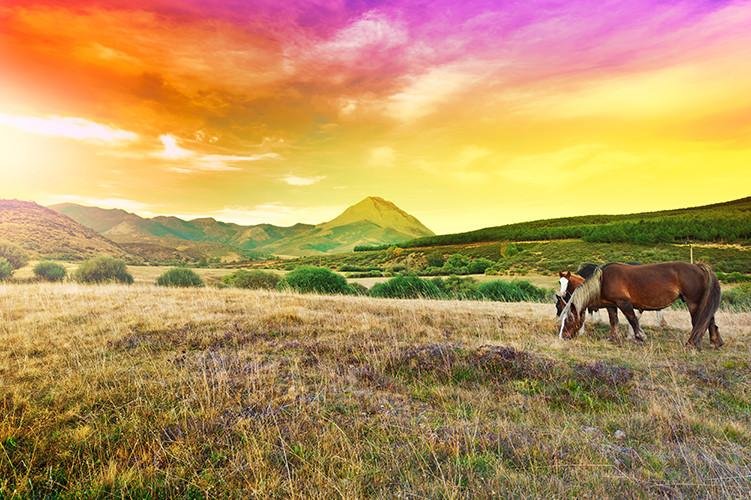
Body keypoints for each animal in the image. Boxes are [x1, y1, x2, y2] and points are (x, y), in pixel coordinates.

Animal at [558, 262, 722, 348]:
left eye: (569, 319)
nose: (562, 337)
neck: (603, 280)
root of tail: (698, 267)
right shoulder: (612, 305)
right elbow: (614, 321)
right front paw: (614, 338)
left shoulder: (624, 303)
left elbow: (632, 320)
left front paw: (640, 336)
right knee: (709, 320)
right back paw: (715, 342)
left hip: (693, 302)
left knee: (700, 321)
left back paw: (693, 342)